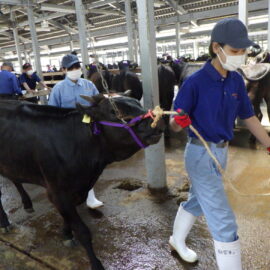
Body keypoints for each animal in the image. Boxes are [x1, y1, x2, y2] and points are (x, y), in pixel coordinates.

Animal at [0, 96, 165, 268]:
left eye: (138, 103)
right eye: (115, 112)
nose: (159, 119)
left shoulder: (79, 190)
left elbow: (68, 218)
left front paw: (66, 234)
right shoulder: (57, 192)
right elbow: (82, 231)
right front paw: (96, 264)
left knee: (14, 178)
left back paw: (27, 203)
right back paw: (4, 222)